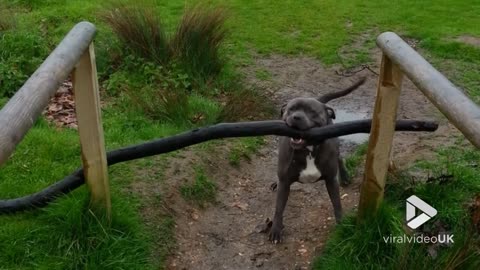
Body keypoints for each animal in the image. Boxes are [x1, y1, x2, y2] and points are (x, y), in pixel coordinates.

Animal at [268, 77, 366, 244]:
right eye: (291, 109)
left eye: (312, 112)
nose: (296, 117)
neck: (308, 149)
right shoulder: (285, 183)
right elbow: (279, 208)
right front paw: (276, 230)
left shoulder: (331, 180)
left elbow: (337, 203)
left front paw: (341, 224)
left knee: (339, 157)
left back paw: (345, 176)